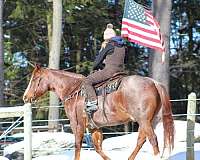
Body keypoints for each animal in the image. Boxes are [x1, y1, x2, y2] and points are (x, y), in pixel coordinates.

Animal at [23, 65, 173, 160]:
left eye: (35, 79)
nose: (25, 97)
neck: (73, 90)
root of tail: (154, 82)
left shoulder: (77, 125)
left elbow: (78, 146)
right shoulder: (94, 127)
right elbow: (98, 147)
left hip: (144, 121)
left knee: (153, 139)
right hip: (149, 121)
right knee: (141, 140)